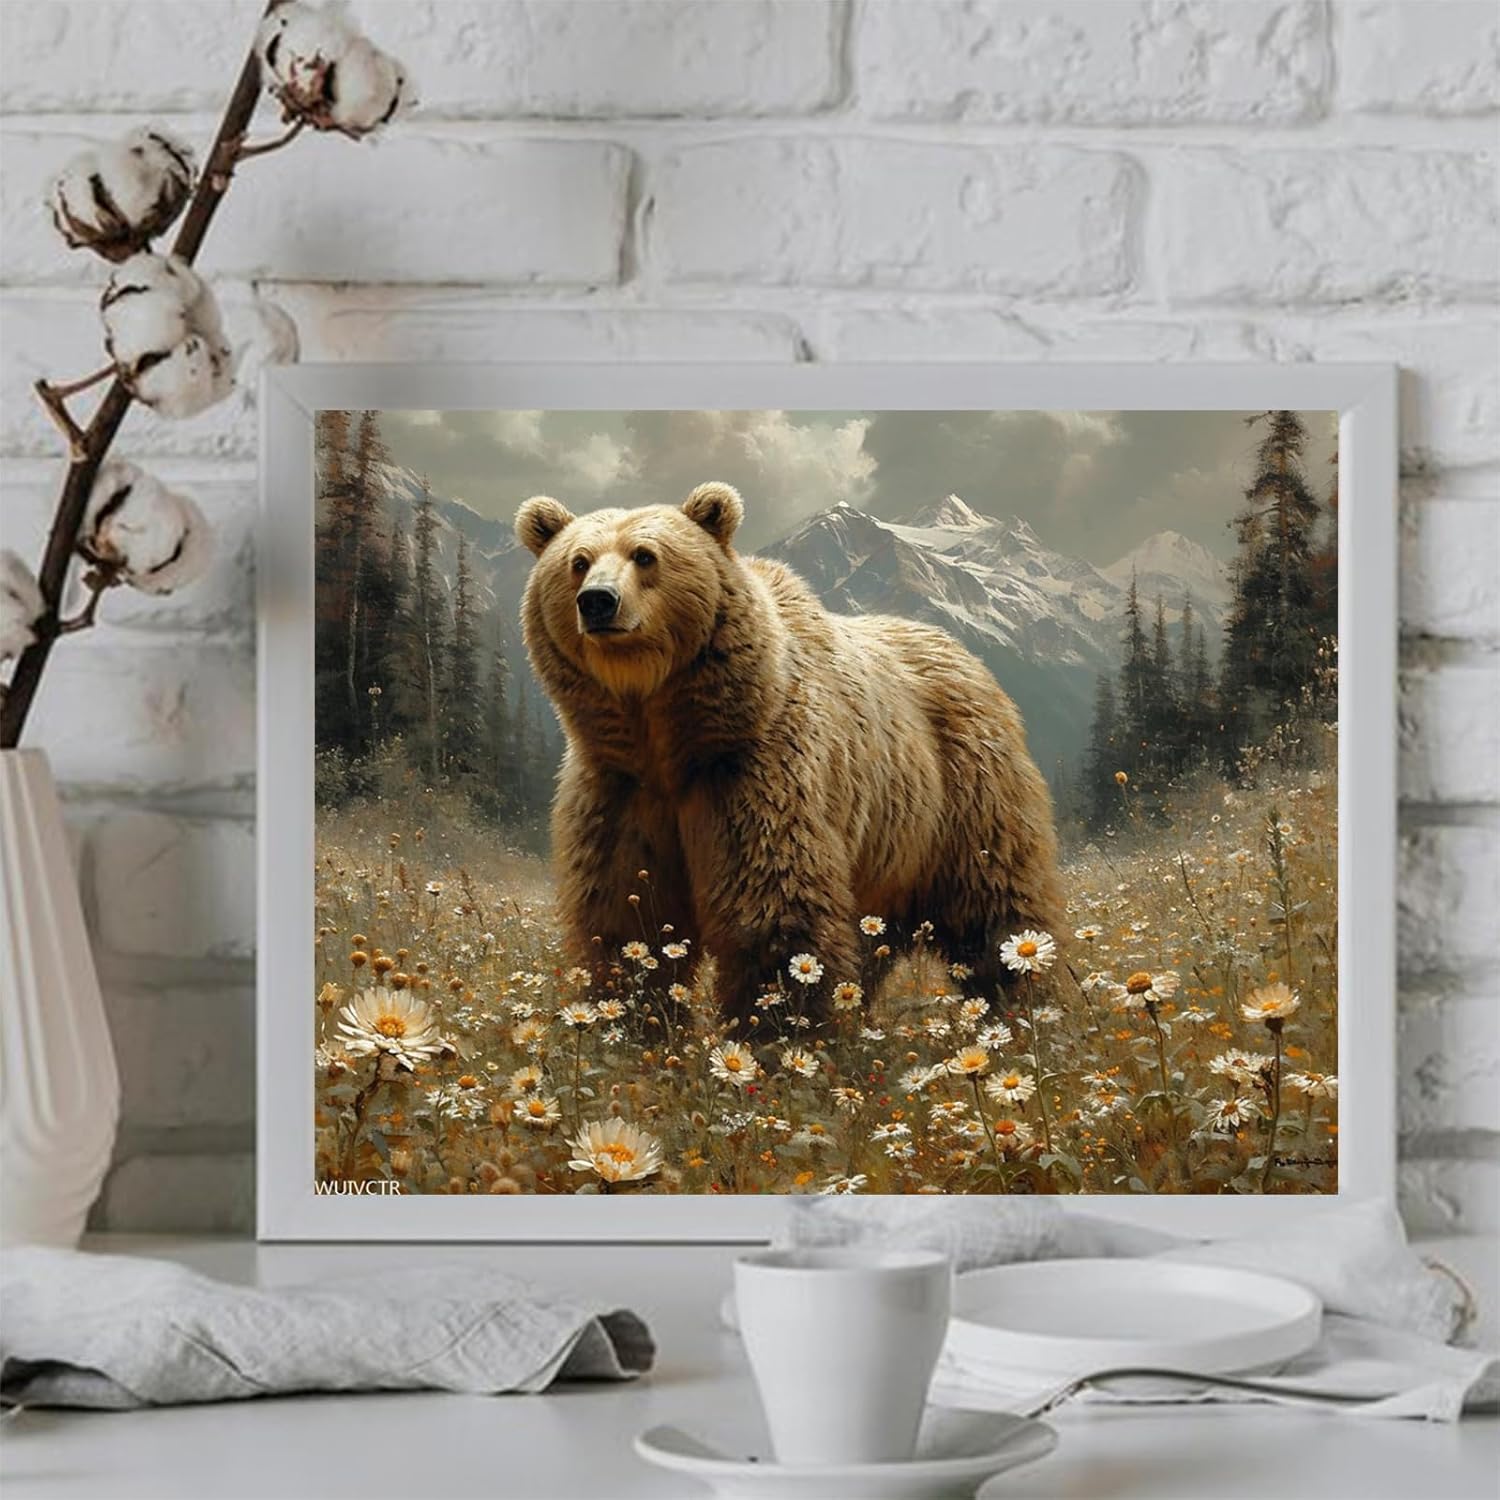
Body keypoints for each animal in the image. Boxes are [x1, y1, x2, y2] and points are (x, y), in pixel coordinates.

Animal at [515, 481, 1064, 1032]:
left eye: (645, 555)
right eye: (578, 561)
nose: (598, 602)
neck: (669, 732)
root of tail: (967, 657)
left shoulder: (754, 769)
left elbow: (775, 907)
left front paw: (776, 1024)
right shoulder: (620, 784)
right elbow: (627, 915)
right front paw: (632, 1019)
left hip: (964, 792)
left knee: (994, 906)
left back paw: (1024, 1000)